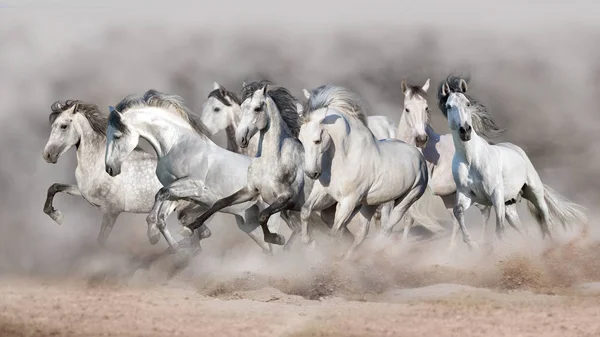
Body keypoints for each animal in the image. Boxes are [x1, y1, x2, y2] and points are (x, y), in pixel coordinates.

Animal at [41, 99, 206, 247]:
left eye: (63, 126)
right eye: (53, 125)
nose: (47, 155)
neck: (97, 164)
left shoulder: (111, 212)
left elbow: (101, 241)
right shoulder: (82, 192)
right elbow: (54, 187)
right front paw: (57, 216)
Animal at [103, 88, 278, 252]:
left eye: (117, 136)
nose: (109, 168)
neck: (177, 145)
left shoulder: (194, 185)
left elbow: (159, 195)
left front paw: (152, 234)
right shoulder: (176, 191)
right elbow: (162, 214)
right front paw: (174, 248)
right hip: (250, 225)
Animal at [298, 84, 432, 255]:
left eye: (317, 140)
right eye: (301, 140)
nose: (312, 173)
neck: (345, 157)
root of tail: (418, 155)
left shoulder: (349, 200)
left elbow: (334, 232)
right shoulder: (323, 192)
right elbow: (305, 211)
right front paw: (309, 242)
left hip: (405, 201)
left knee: (386, 230)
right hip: (370, 204)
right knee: (362, 234)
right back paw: (349, 257)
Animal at [392, 79, 494, 247]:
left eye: (426, 108)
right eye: (407, 109)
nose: (421, 139)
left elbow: (409, 217)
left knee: (485, 210)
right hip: (449, 197)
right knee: (457, 220)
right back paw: (451, 249)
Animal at [440, 77, 584, 249]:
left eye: (467, 104)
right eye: (449, 106)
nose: (465, 131)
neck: (471, 160)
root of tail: (517, 150)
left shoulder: (496, 196)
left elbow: (499, 231)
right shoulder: (467, 195)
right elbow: (458, 211)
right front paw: (471, 243)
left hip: (534, 193)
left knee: (546, 219)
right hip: (510, 207)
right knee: (524, 231)